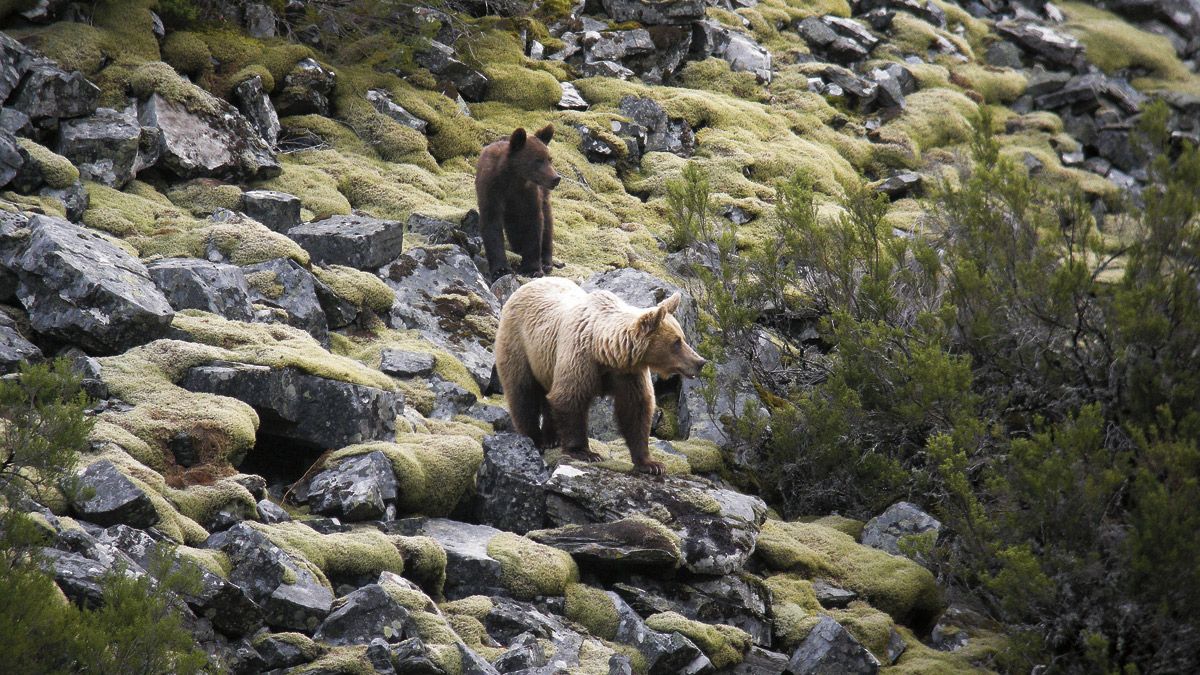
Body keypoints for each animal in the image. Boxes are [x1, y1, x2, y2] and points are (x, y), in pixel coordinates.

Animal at [475, 124, 559, 279]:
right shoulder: (492, 190)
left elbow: (534, 224)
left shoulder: (529, 195)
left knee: (547, 222)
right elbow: (491, 224)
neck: (514, 178)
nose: (556, 178)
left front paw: (532, 268)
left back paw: (546, 261)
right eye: (538, 160)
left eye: (549, 159)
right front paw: (501, 269)